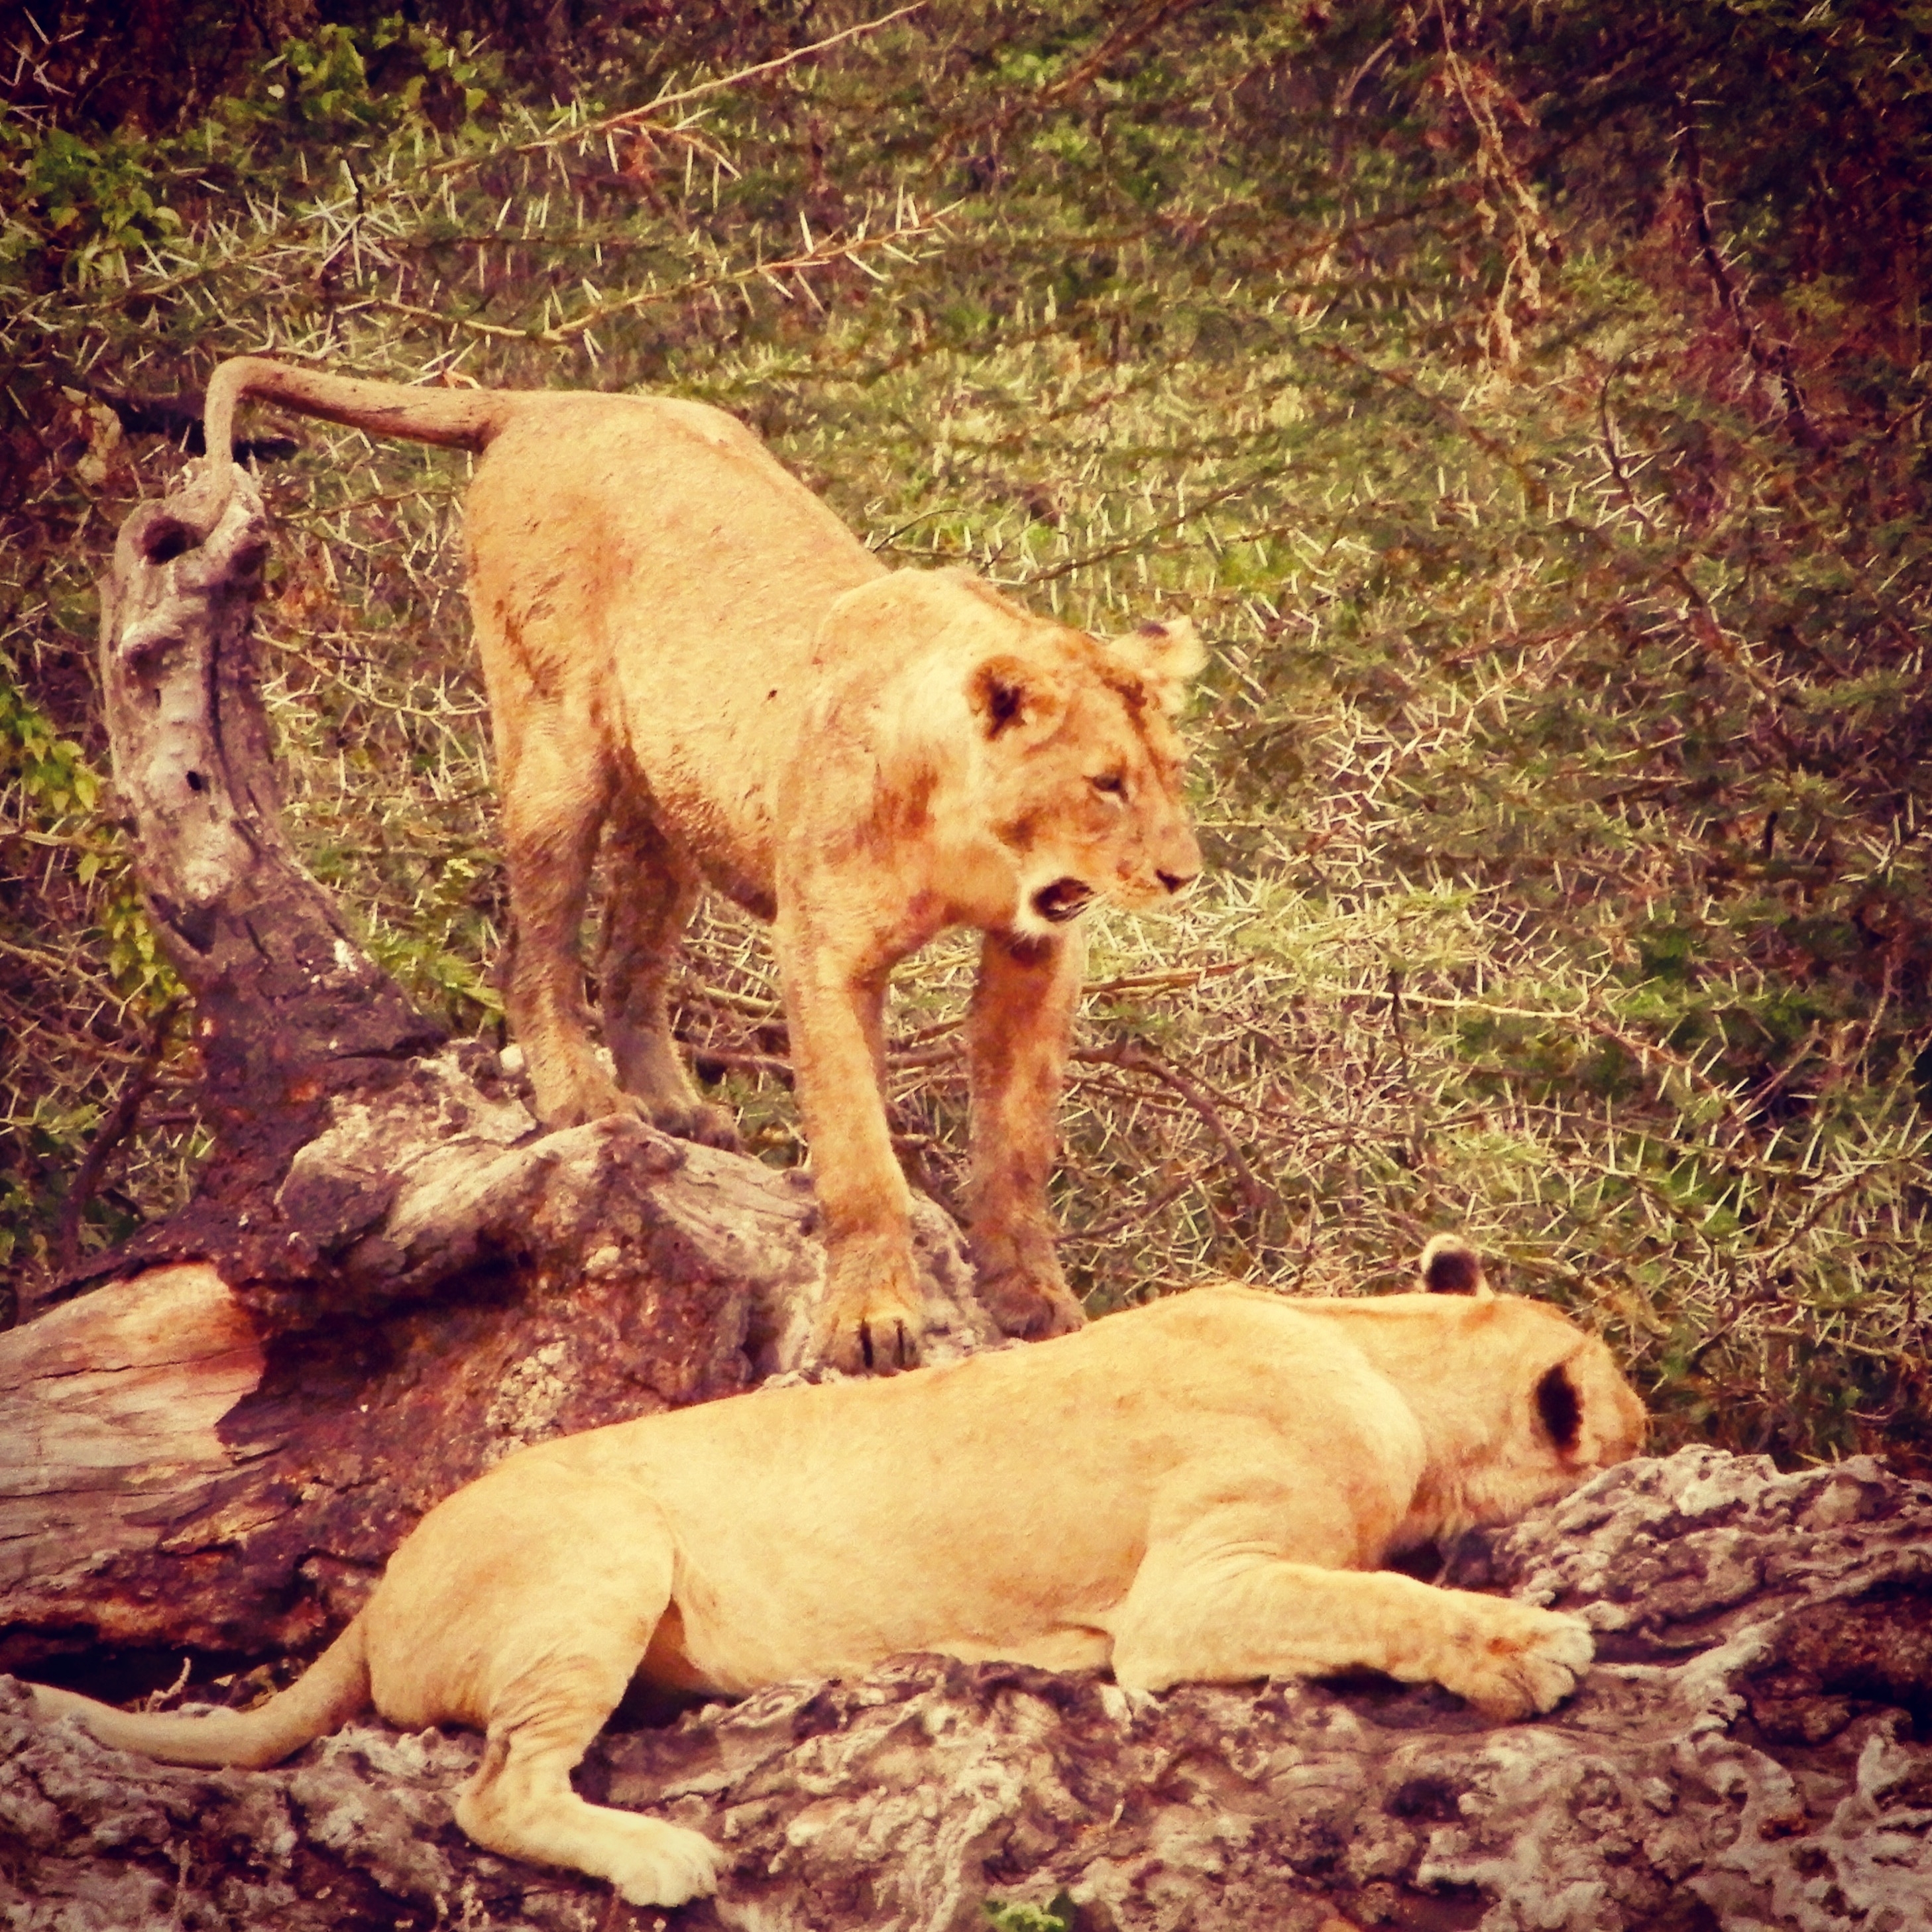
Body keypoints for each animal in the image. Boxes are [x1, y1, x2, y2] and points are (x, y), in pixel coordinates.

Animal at [29, 1238, 1646, 1909]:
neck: (1380, 1345)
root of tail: (374, 1590)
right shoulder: (1184, 1596)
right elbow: (1375, 1594)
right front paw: (1528, 1644)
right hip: (602, 1548)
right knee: (493, 1790)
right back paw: (661, 1858)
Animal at [197, 356, 1205, 1372]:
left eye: (1172, 771)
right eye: (1105, 782)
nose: (1181, 876)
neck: (970, 833)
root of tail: (548, 400)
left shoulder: (1037, 950)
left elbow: (1017, 1142)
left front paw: (1036, 1298)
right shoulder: (821, 952)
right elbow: (857, 1150)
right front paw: (869, 1320)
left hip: (669, 803)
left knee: (630, 960)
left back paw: (674, 1106)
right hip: (556, 740)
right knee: (535, 951)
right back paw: (584, 1098)